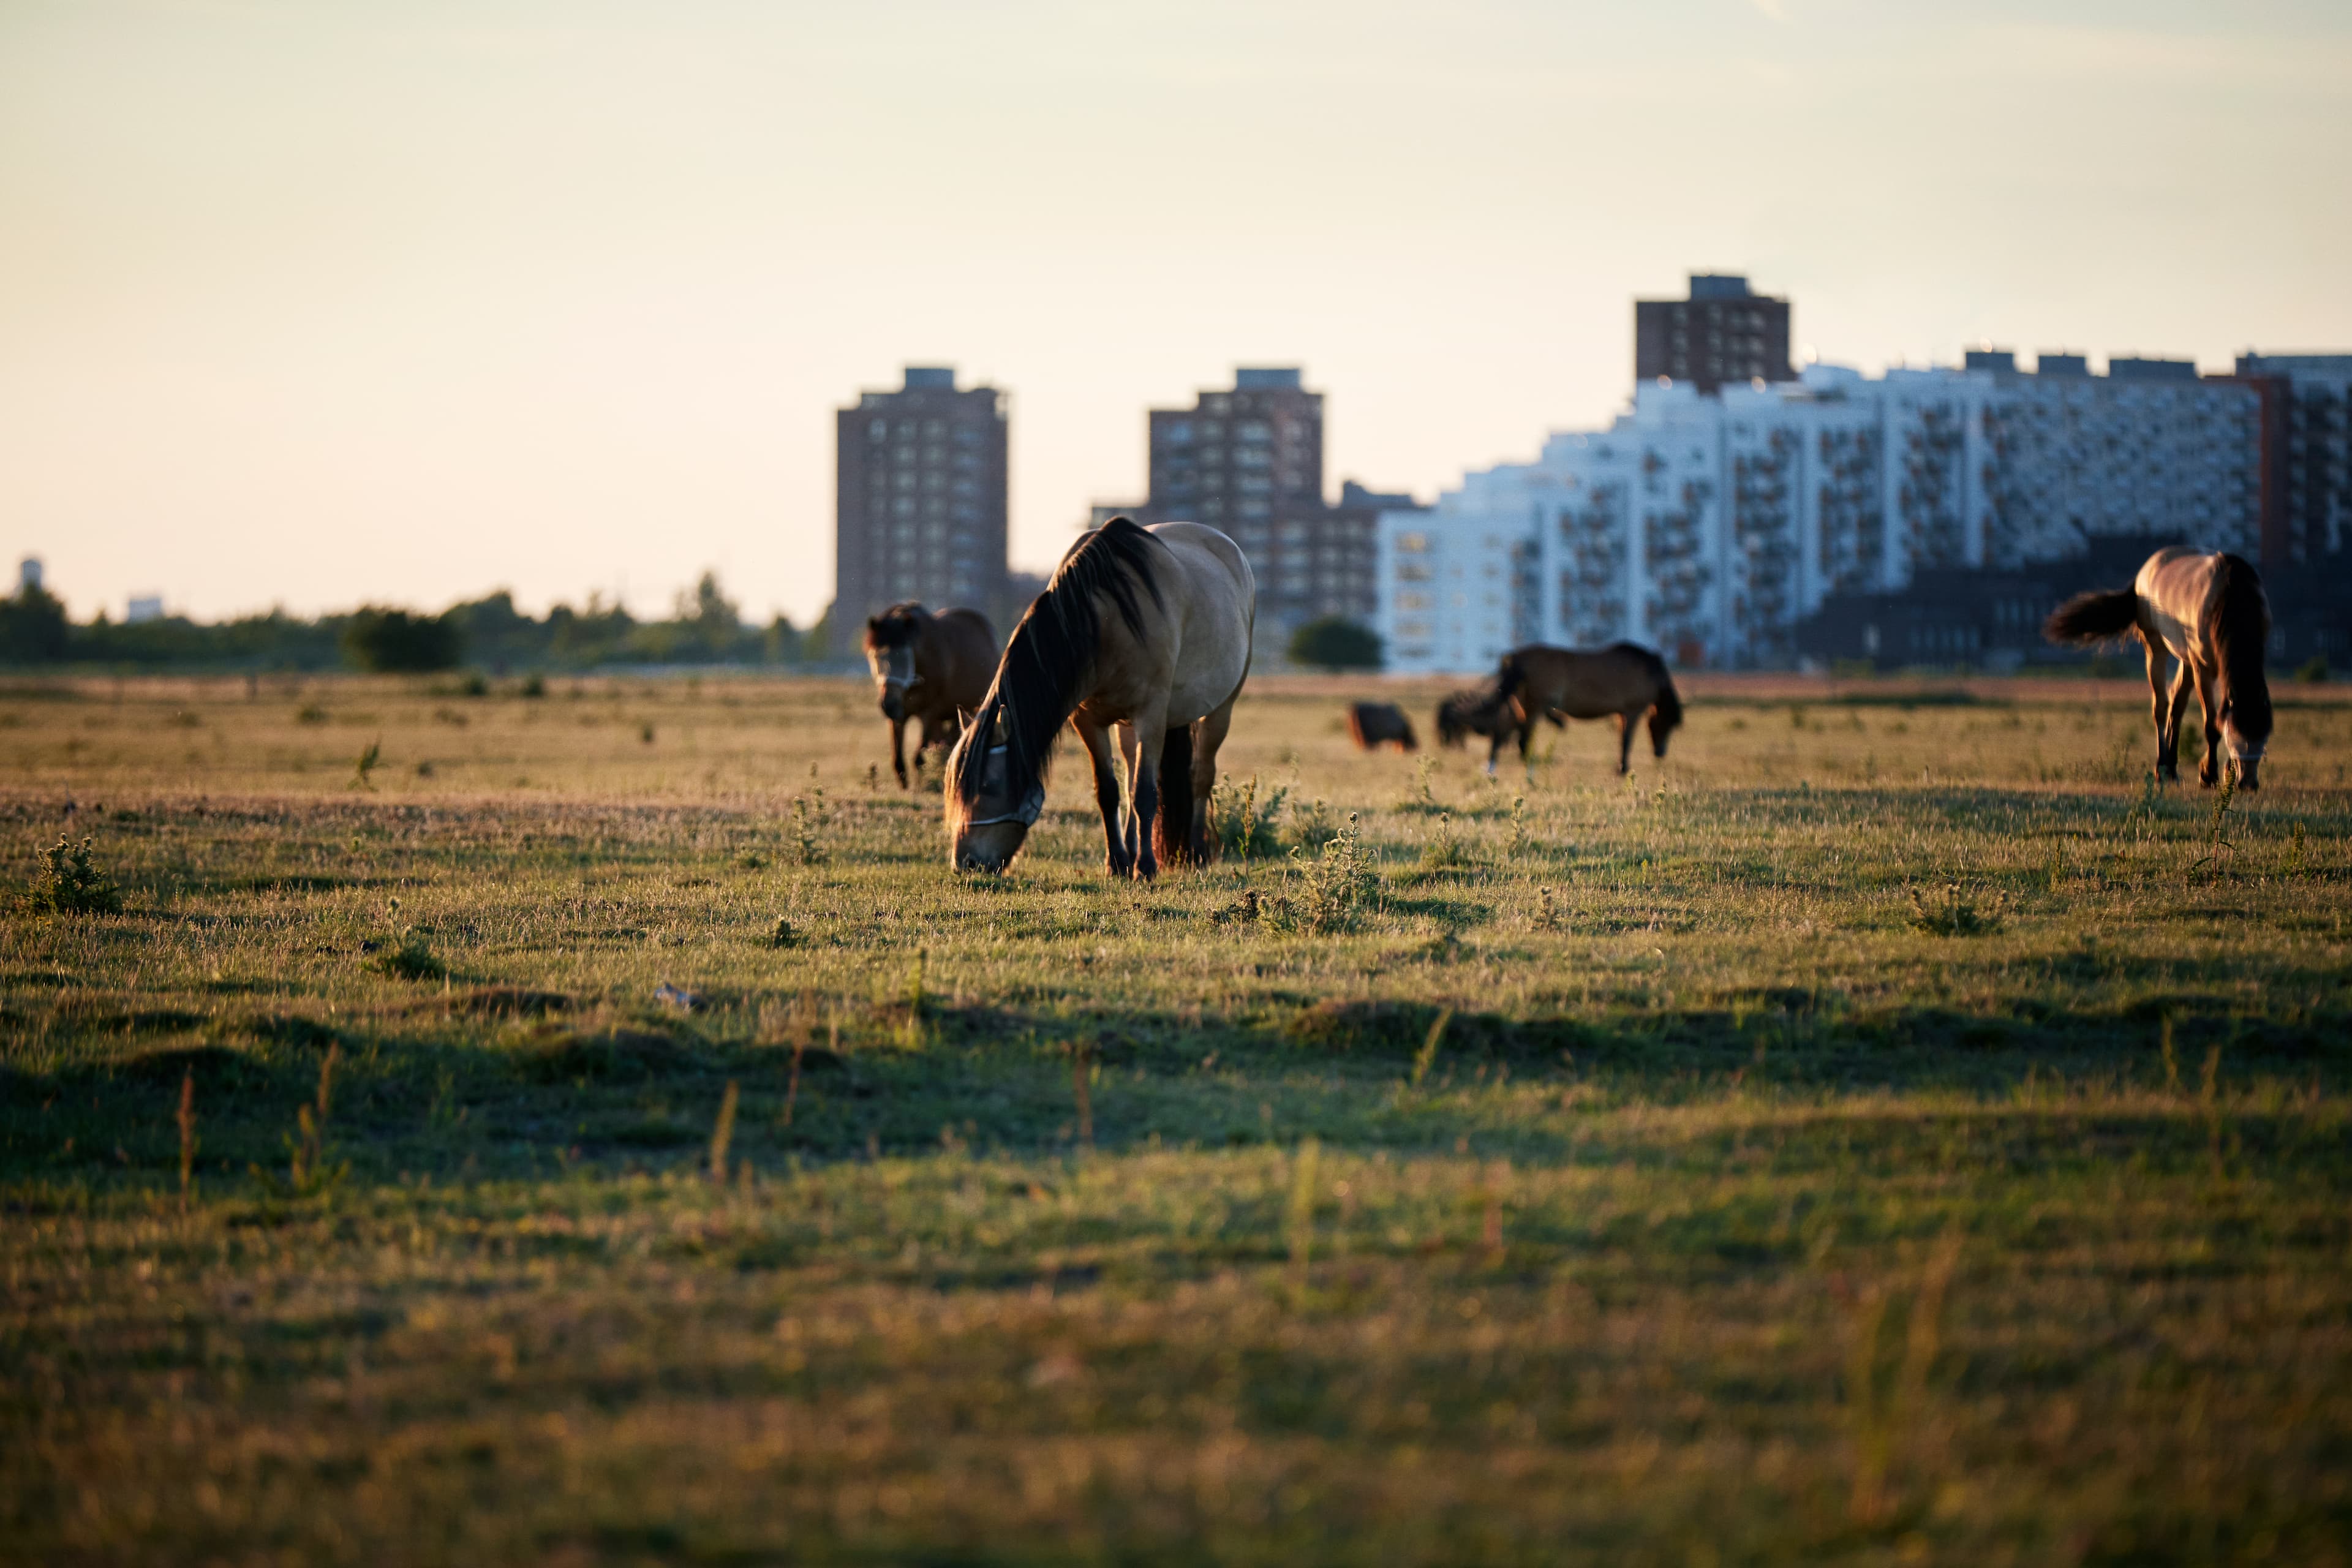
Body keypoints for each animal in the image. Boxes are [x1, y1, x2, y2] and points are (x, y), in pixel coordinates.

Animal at [862, 603, 998, 788]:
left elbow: (919, 759)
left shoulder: (929, 712)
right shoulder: (900, 716)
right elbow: (898, 759)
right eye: (876, 656)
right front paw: (904, 786)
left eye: (906, 657)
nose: (888, 705)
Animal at [945, 517, 1255, 878]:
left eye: (990, 786)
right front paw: (1118, 862)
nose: (966, 862)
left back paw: (1195, 852)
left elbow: (1145, 793)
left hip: (1220, 709)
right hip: (1126, 724)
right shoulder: (1088, 720)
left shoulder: (1152, 715)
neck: (1104, 622)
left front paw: (1145, 867)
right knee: (1131, 772)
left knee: (1201, 774)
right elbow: (1109, 791)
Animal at [1481, 642, 1683, 775]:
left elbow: (1622, 737)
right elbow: (1626, 740)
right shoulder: (1633, 710)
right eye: (1669, 723)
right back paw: (1528, 768)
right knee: (1522, 738)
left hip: (1521, 703)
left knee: (1506, 731)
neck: (1648, 671)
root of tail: (1514, 657)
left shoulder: (1621, 713)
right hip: (1533, 705)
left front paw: (1621, 767)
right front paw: (1623, 768)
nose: (1660, 753)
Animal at [2045, 547, 2272, 790]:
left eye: (2264, 737)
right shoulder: (2204, 667)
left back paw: (2171, 769)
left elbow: (2220, 715)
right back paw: (2162, 769)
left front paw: (2220, 772)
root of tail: (2145, 572)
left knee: (2177, 704)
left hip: (2186, 659)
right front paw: (2209, 776)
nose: (2248, 783)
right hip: (2156, 649)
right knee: (2161, 706)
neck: (2231, 596)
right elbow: (2212, 725)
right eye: (2236, 738)